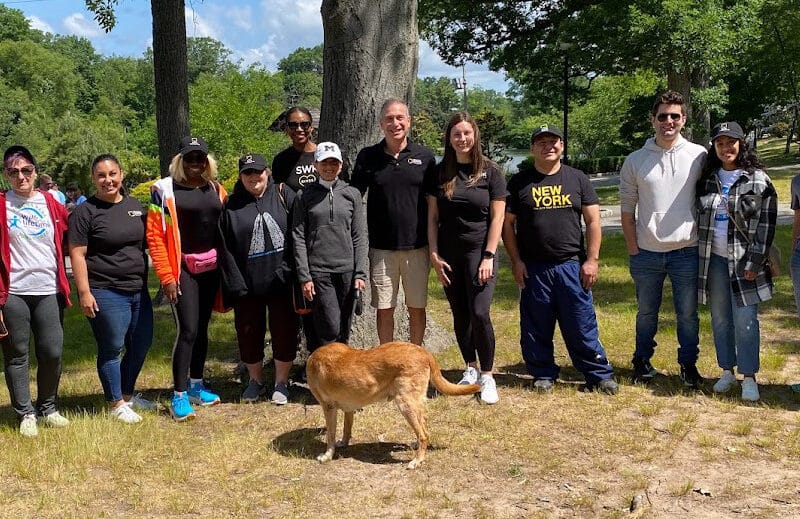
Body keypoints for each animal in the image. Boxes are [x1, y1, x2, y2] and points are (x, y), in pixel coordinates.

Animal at [306, 344, 482, 470]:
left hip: (405, 404)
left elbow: (330, 435)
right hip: (414, 404)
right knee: (424, 424)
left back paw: (417, 460)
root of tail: (424, 352)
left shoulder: (328, 407)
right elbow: (346, 429)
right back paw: (417, 446)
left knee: (424, 434)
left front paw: (327, 455)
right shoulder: (349, 408)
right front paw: (343, 443)